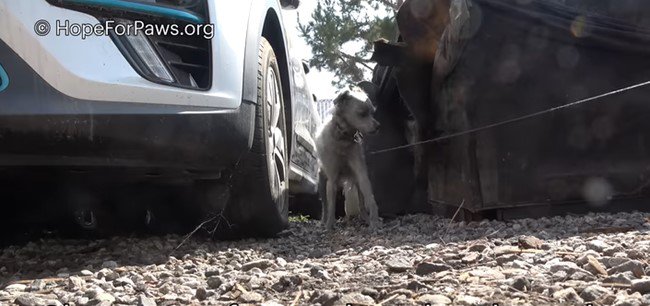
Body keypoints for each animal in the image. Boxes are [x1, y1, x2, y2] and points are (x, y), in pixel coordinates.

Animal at [316, 81, 380, 230]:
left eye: (372, 112)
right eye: (362, 114)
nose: (378, 126)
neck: (342, 138)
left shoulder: (361, 174)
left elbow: (371, 199)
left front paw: (374, 221)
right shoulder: (332, 180)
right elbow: (332, 206)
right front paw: (329, 226)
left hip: (357, 182)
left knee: (361, 204)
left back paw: (366, 218)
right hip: (322, 183)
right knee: (325, 205)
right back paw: (323, 221)